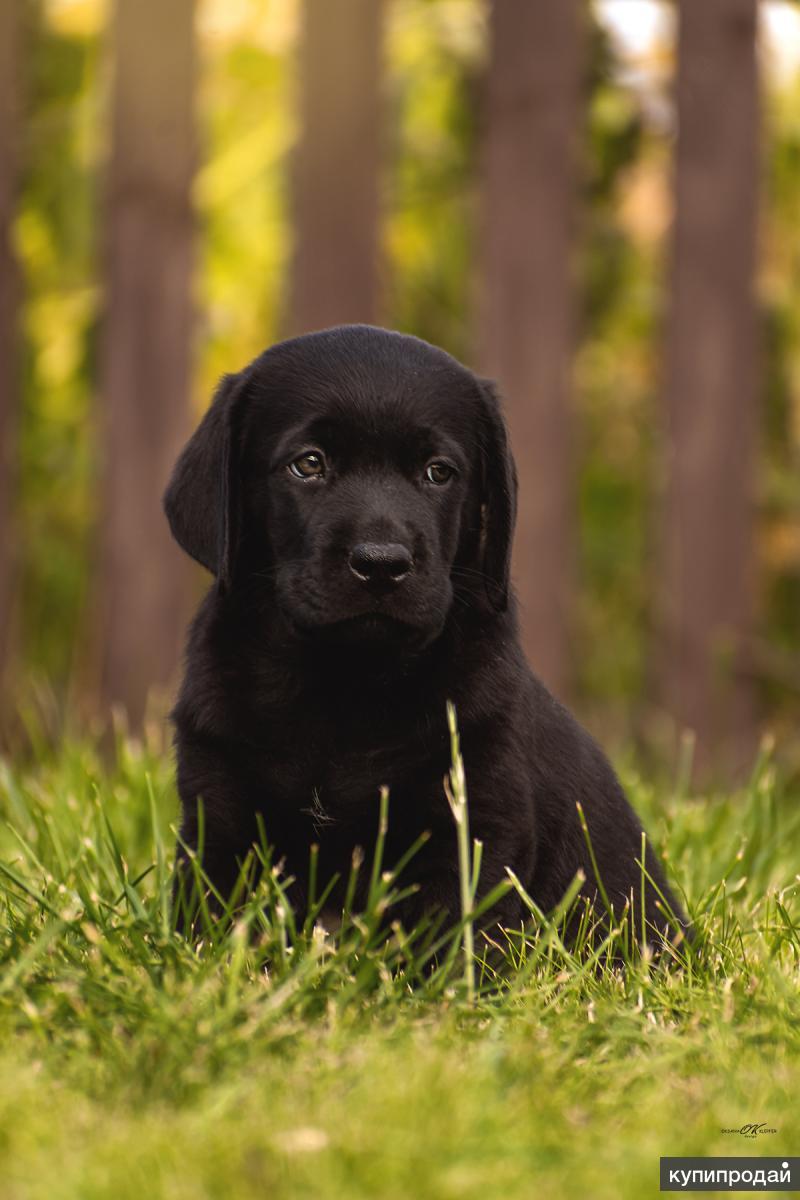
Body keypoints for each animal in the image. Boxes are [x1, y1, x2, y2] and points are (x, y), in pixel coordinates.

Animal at [164, 324, 690, 950]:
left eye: (438, 472)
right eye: (308, 464)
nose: (381, 564)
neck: (342, 685)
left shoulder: (474, 819)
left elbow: (450, 938)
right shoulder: (217, 813)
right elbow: (212, 922)